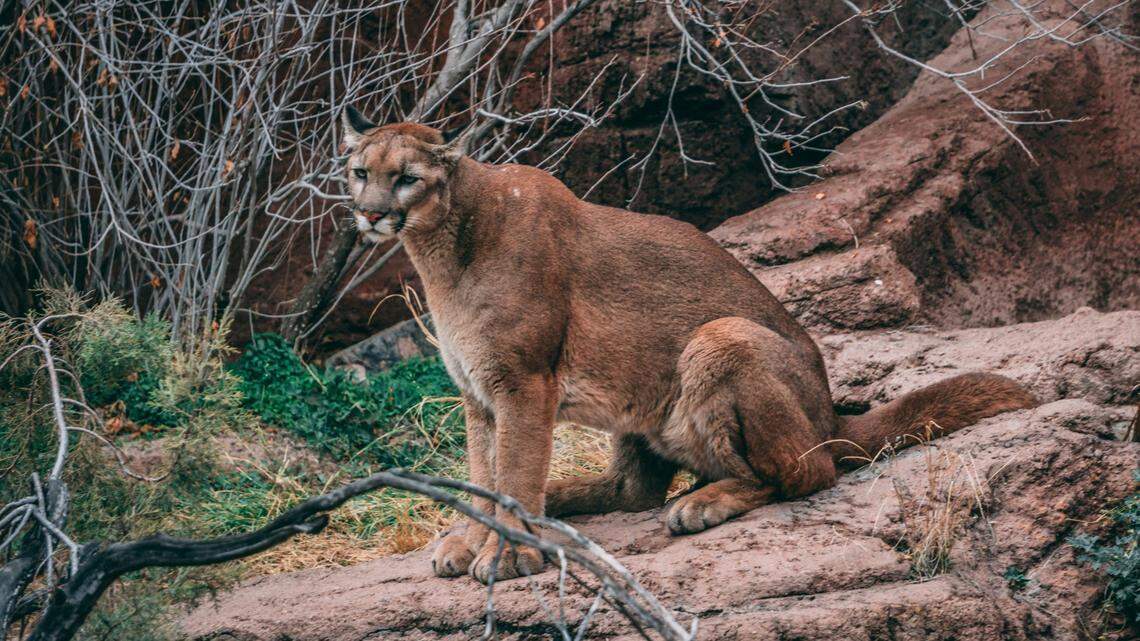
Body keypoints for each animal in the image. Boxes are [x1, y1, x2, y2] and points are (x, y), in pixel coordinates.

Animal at [339, 106, 1037, 584]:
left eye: (406, 178)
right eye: (359, 173)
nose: (369, 214)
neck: (443, 250)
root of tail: (830, 412)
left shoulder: (523, 384)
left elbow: (511, 472)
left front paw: (505, 550)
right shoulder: (478, 392)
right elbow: (484, 472)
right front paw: (469, 538)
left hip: (719, 338)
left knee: (806, 472)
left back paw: (700, 503)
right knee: (634, 491)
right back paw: (565, 500)